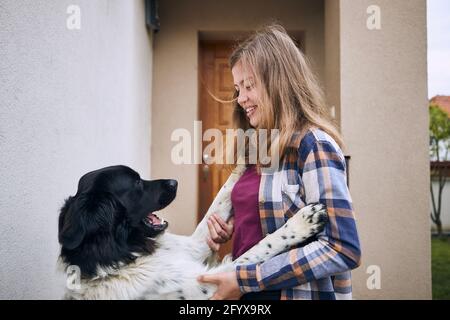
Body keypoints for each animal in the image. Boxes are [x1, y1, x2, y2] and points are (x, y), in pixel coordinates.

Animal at [59, 165, 326, 300]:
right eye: (136, 183)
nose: (174, 182)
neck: (124, 253)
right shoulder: (209, 285)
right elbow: (261, 247)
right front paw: (302, 223)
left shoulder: (192, 246)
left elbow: (222, 196)